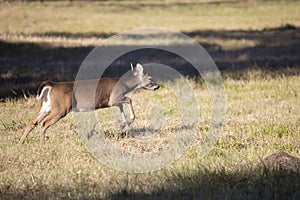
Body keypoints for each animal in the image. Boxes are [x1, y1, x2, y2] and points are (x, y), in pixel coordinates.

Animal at [19, 63, 159, 143]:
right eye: (150, 79)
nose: (157, 86)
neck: (125, 85)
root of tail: (51, 85)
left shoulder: (115, 101)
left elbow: (122, 110)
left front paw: (124, 124)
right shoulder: (114, 98)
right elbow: (130, 99)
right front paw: (129, 120)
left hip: (46, 106)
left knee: (33, 122)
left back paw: (20, 142)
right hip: (61, 109)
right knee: (44, 123)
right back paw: (43, 144)